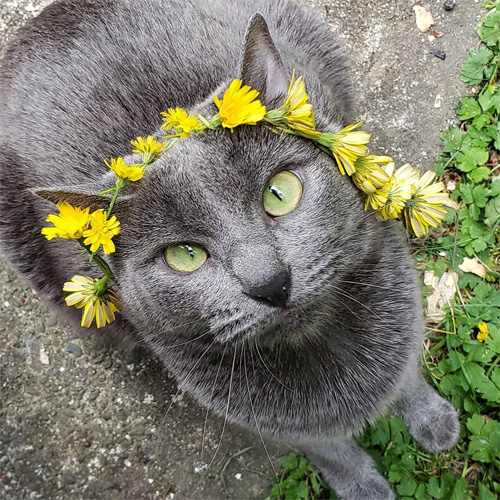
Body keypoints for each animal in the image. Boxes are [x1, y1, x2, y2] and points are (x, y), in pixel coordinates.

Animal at [0, 0, 460, 498]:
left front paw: (435, 422)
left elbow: (407, 375)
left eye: (280, 193)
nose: (271, 283)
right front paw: (363, 487)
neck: (327, 345)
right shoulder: (278, 425)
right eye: (185, 256)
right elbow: (328, 449)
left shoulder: (403, 307)